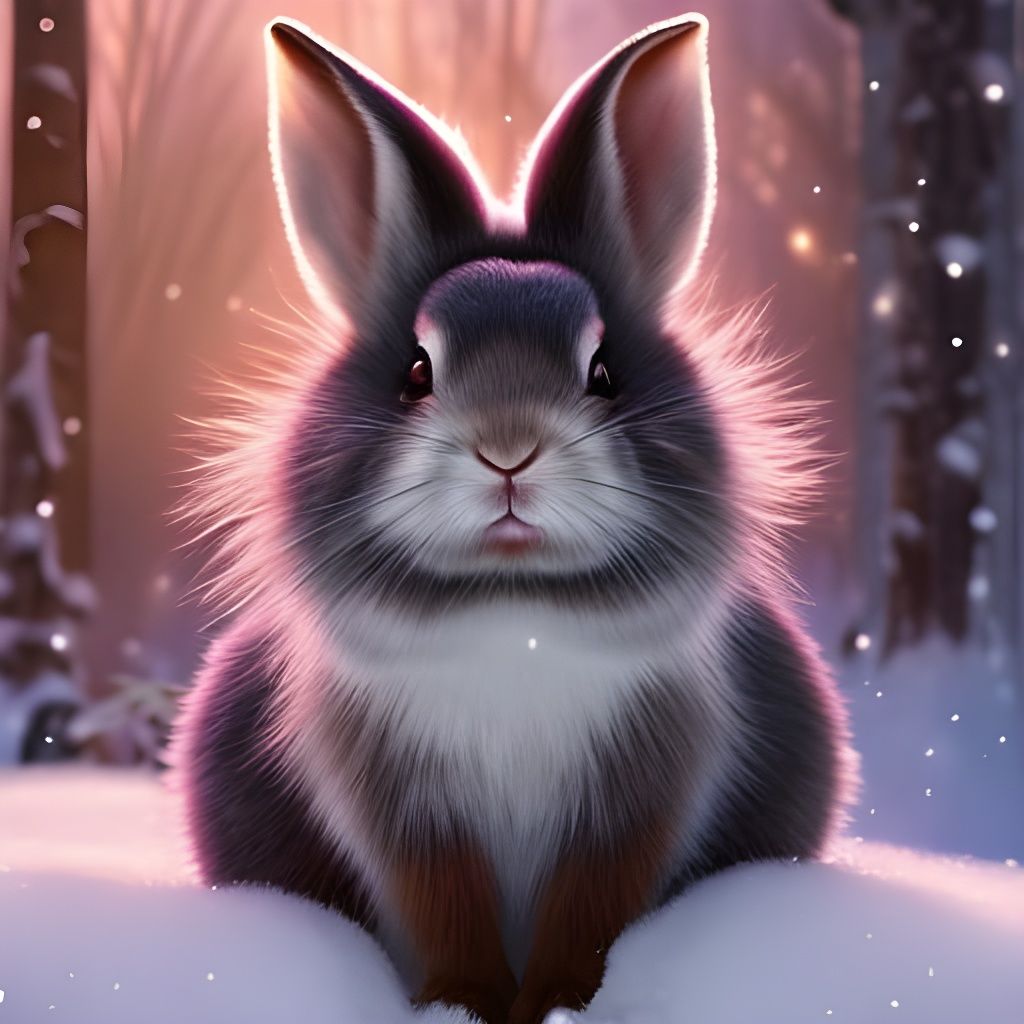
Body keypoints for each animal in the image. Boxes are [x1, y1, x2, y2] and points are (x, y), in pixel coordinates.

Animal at [169, 13, 857, 1024]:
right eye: (416, 371)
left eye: (604, 372)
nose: (508, 448)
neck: (512, 607)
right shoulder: (403, 803)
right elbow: (445, 902)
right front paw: (464, 1003)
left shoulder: (635, 794)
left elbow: (591, 906)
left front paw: (564, 1001)